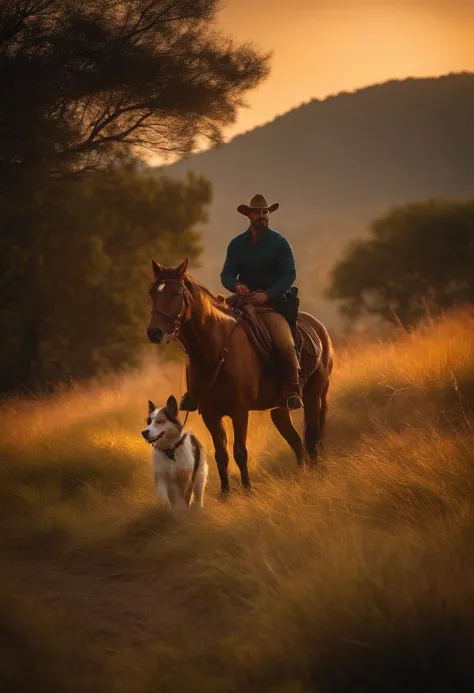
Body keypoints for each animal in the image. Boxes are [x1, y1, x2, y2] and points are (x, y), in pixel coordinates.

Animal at [146, 256, 336, 494]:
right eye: (152, 293)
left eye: (175, 293)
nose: (154, 333)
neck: (215, 351)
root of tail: (320, 329)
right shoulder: (210, 414)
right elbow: (221, 455)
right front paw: (225, 494)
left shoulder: (239, 412)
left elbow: (240, 451)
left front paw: (247, 491)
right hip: (280, 407)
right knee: (295, 438)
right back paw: (302, 474)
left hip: (313, 395)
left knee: (311, 436)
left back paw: (313, 472)